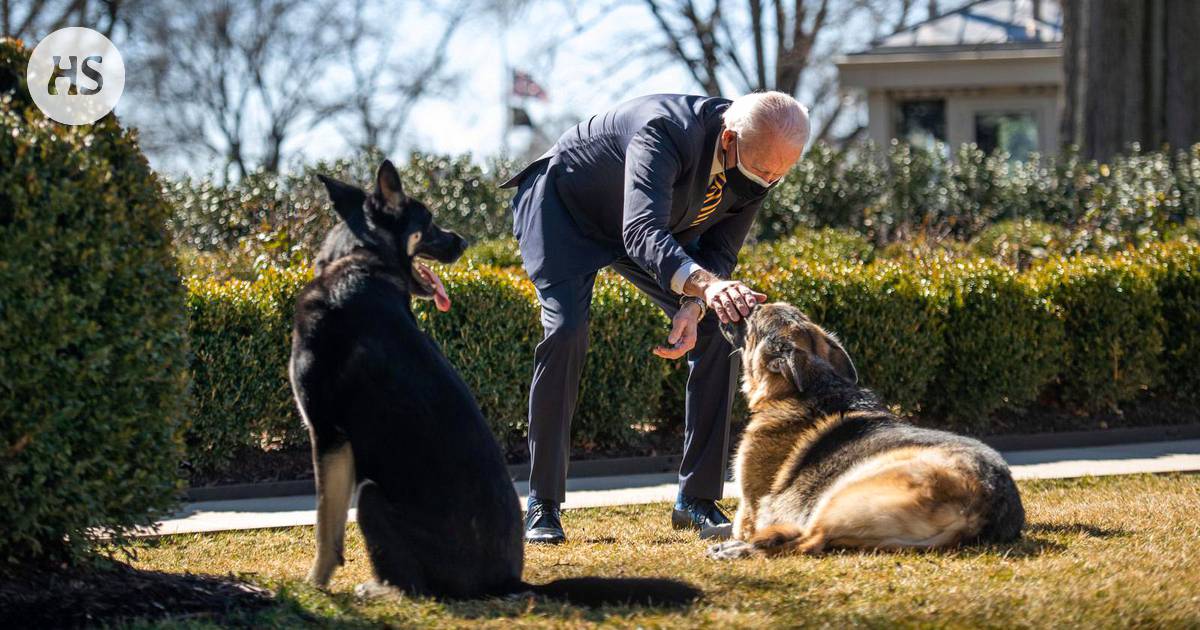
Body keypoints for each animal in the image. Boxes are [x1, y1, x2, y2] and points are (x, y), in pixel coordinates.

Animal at [289, 158, 700, 604]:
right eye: (429, 221)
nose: (462, 241)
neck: (360, 260)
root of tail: (509, 581)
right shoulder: (334, 440)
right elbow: (329, 527)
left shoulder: (327, 434)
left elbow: (326, 528)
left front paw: (314, 585)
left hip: (371, 496)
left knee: (418, 587)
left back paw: (379, 590)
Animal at [705, 302, 1027, 556]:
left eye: (753, 314)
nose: (735, 304)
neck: (814, 384)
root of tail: (981, 508)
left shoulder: (748, 510)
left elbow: (741, 523)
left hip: (840, 496)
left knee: (808, 541)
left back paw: (738, 551)